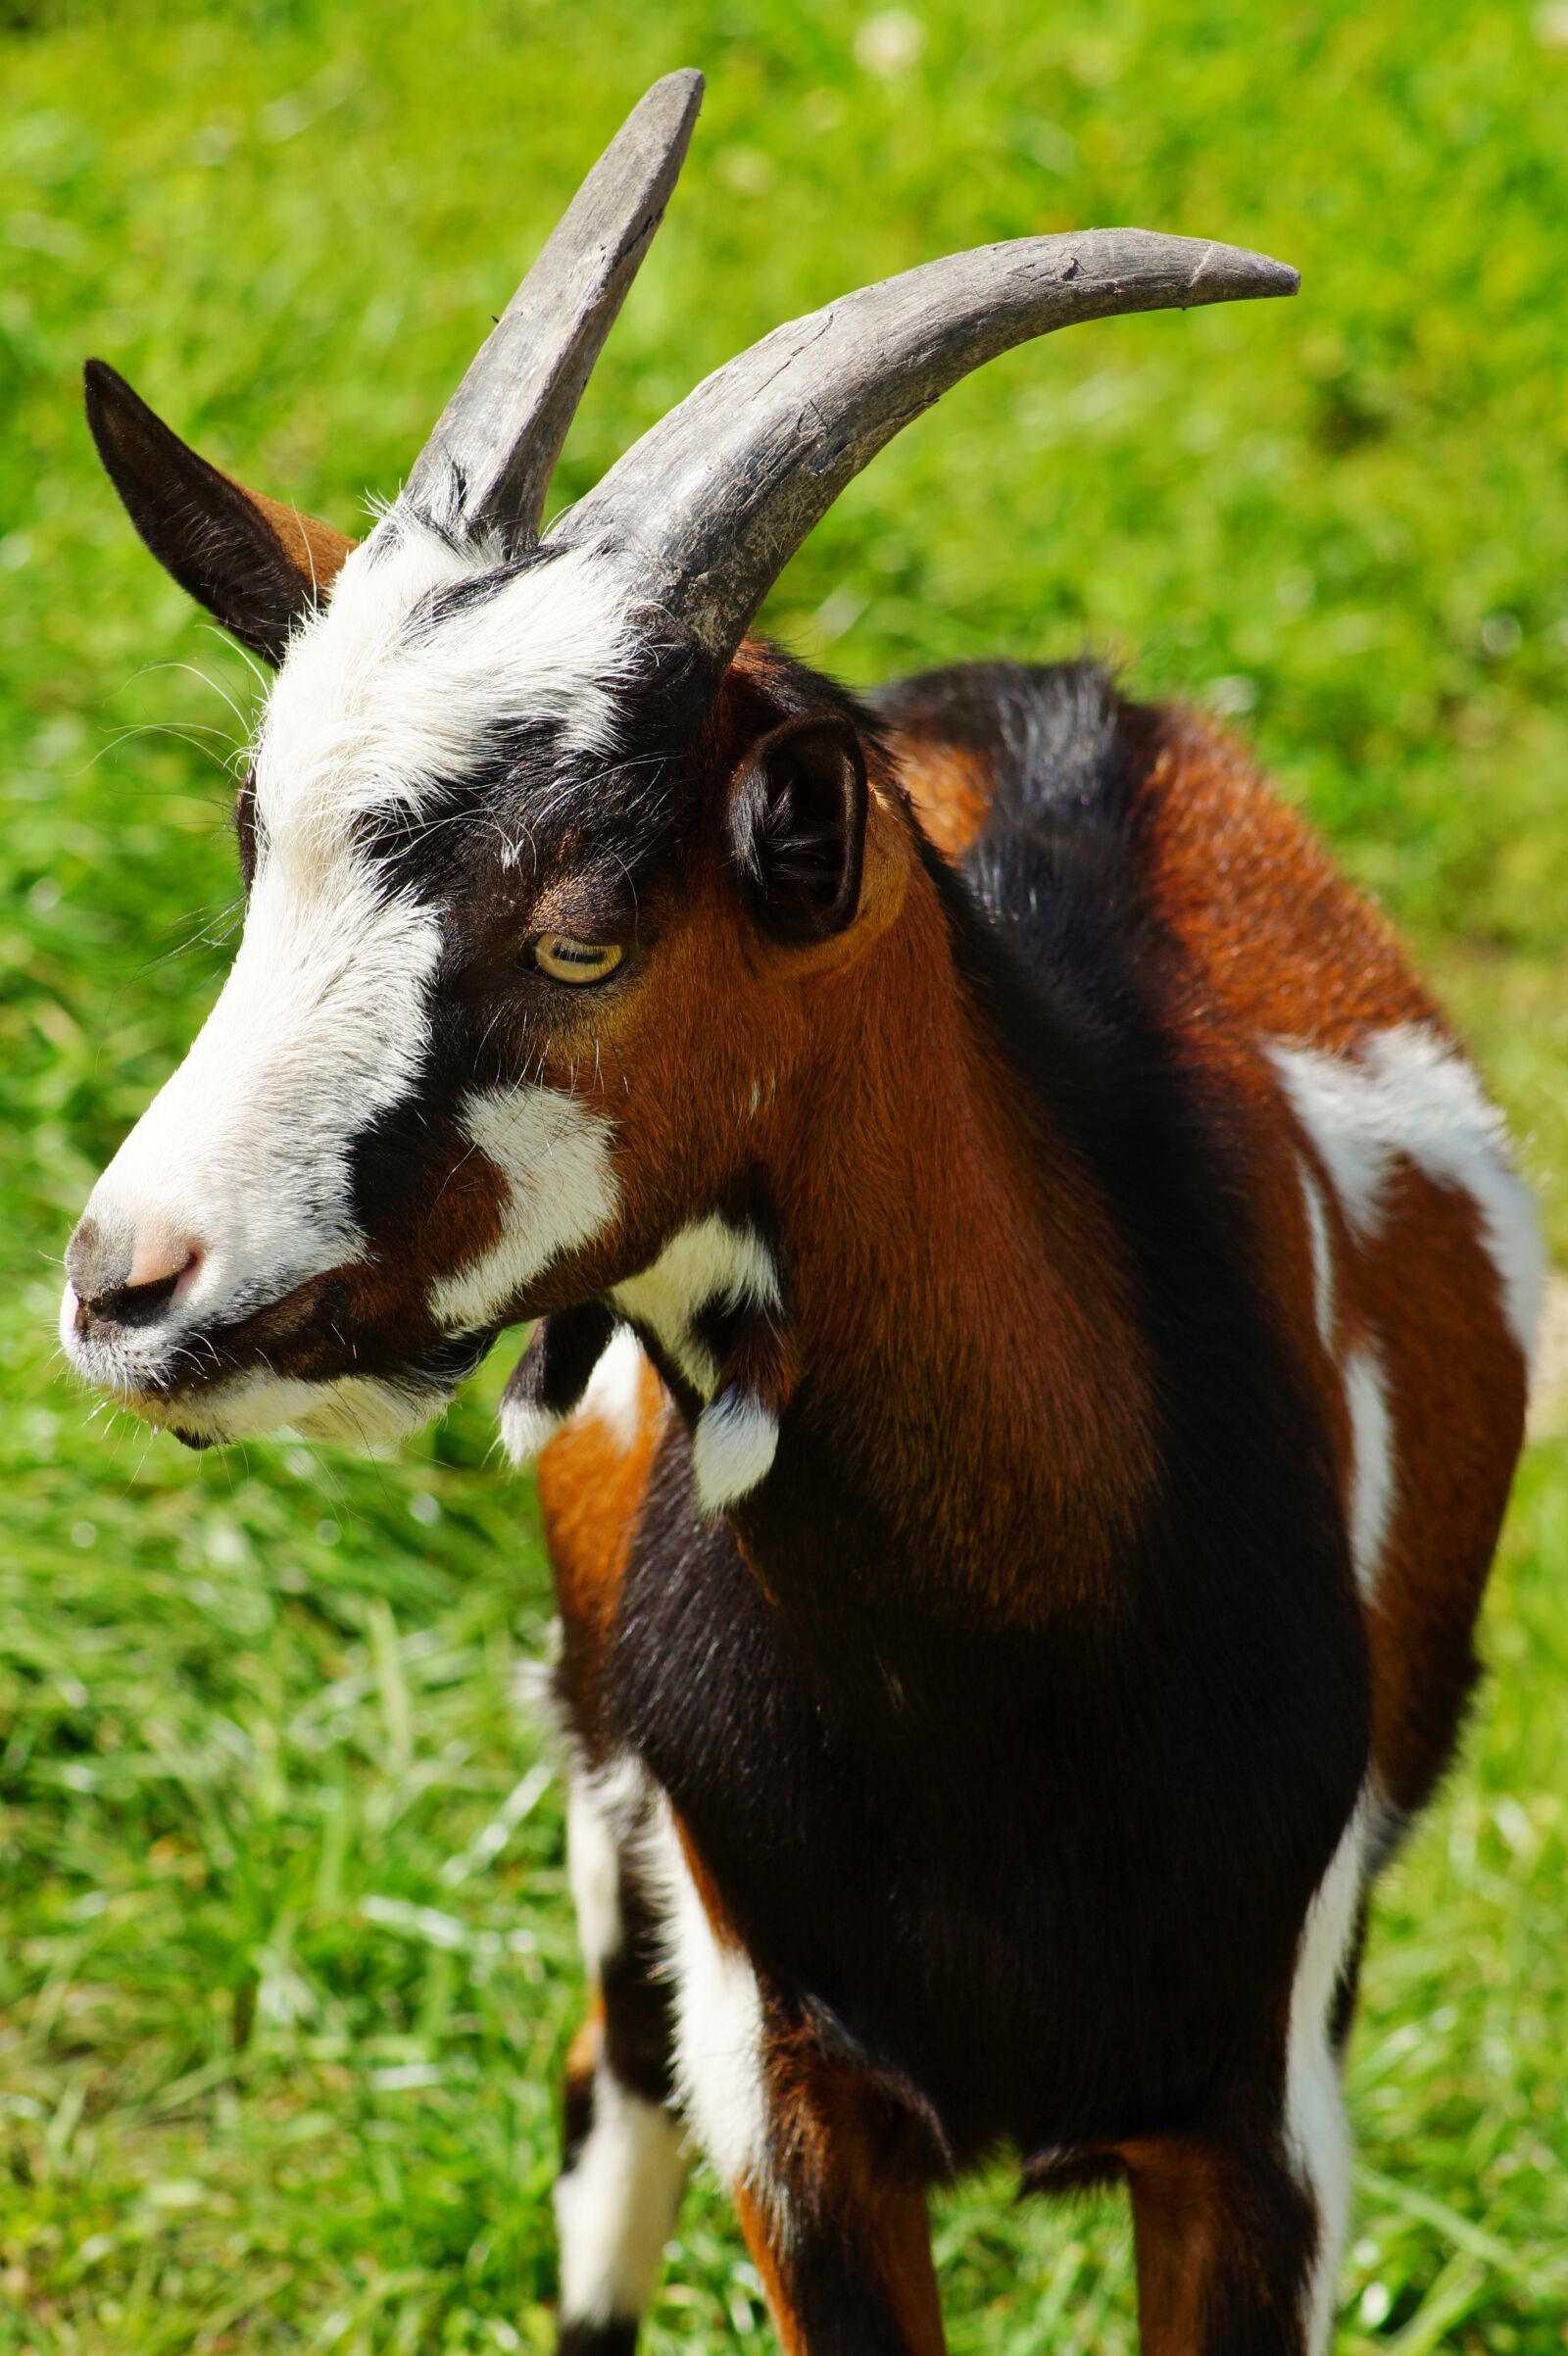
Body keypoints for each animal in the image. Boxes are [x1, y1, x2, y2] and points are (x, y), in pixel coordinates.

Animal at [61, 71, 1538, 2356]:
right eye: (254, 851)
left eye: (583, 930)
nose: (128, 1285)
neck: (1011, 1692)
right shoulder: (789, 2082)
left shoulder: (1266, 2116)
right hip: (618, 1874)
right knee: (597, 2115)